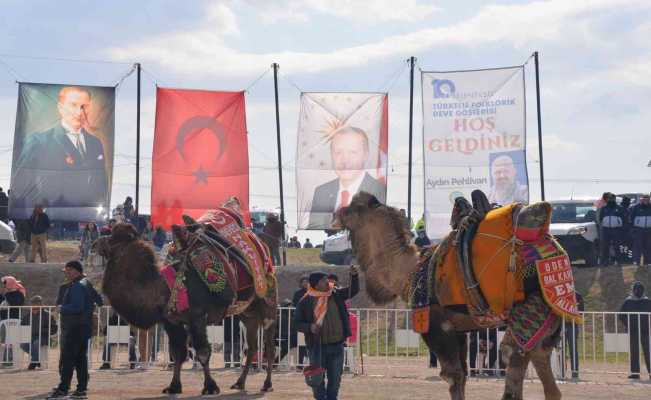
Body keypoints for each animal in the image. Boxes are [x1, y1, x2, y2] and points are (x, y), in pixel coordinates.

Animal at [95, 198, 278, 396]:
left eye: (115, 237)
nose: (96, 243)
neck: (167, 286)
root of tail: (262, 247)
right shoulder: (171, 321)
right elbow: (178, 353)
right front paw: (174, 386)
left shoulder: (197, 316)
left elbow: (203, 352)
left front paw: (210, 387)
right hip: (247, 312)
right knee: (252, 346)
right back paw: (239, 383)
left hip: (267, 301)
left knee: (269, 344)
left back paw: (267, 384)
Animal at [334, 191, 584, 400]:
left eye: (354, 208)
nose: (336, 214)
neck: (409, 272)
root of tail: (554, 252)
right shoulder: (459, 328)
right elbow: (462, 375)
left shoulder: (436, 324)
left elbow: (452, 375)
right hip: (549, 315)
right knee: (543, 366)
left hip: (529, 306)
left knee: (512, 354)